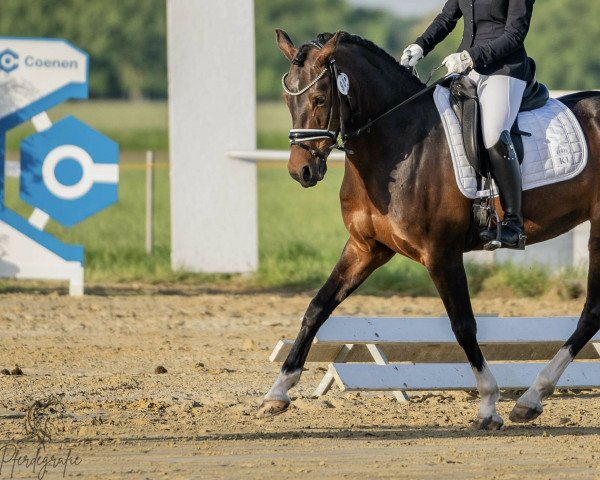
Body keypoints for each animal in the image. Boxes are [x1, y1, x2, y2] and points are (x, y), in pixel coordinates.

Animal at [258, 28, 600, 430]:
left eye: (320, 97)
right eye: (287, 98)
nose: (302, 172)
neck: (398, 142)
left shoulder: (441, 253)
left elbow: (463, 325)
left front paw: (488, 405)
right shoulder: (364, 248)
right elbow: (317, 307)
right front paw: (277, 392)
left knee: (591, 311)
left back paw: (530, 398)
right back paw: (531, 400)